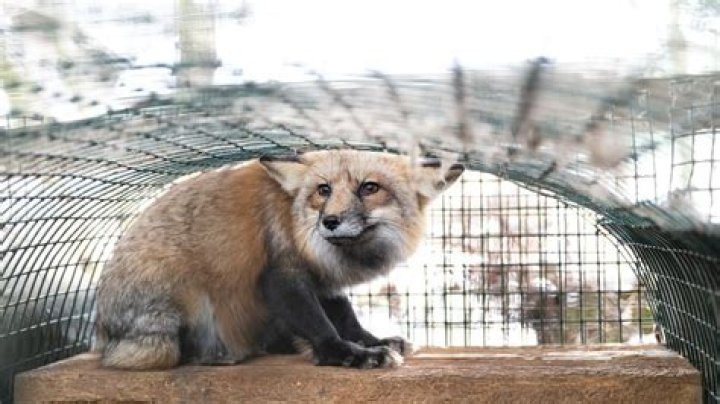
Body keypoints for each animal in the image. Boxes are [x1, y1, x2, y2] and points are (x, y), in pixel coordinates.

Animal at [95, 149, 463, 369]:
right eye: (323, 190)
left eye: (369, 188)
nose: (330, 221)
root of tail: (103, 339)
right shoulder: (280, 273)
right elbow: (321, 325)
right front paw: (347, 354)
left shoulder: (323, 281)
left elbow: (347, 318)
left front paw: (373, 342)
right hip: (175, 316)